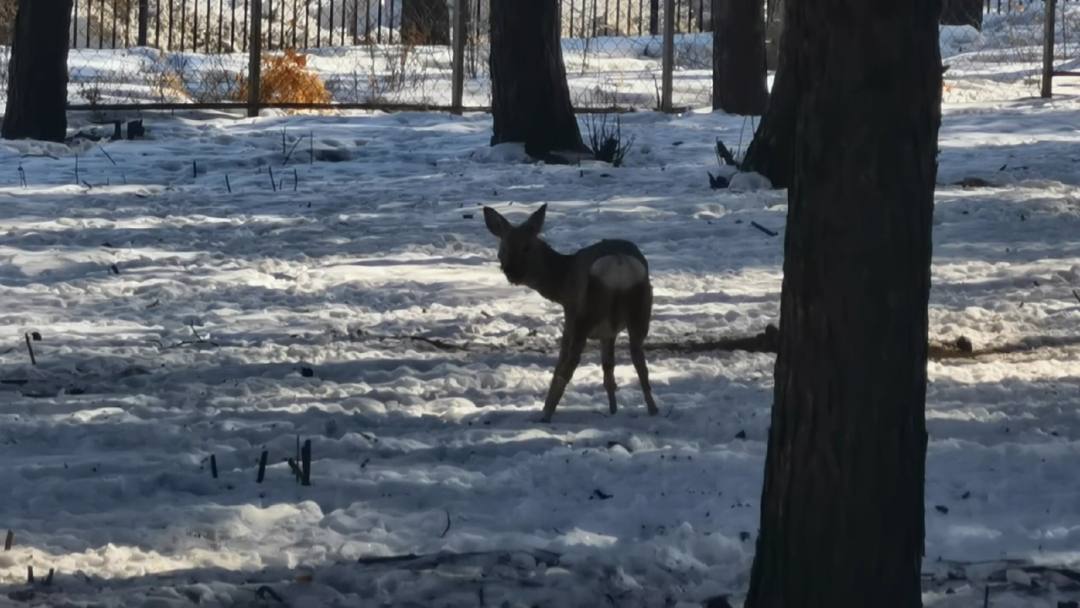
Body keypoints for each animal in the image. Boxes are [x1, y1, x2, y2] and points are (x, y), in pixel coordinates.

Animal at [483, 204, 656, 423]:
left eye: (526, 247)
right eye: (503, 248)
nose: (512, 272)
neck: (562, 281)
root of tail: (619, 262)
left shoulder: (570, 311)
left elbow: (563, 360)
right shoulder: (608, 331)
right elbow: (608, 368)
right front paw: (613, 410)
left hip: (584, 312)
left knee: (570, 361)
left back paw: (546, 414)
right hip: (640, 308)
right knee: (639, 360)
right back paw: (653, 410)